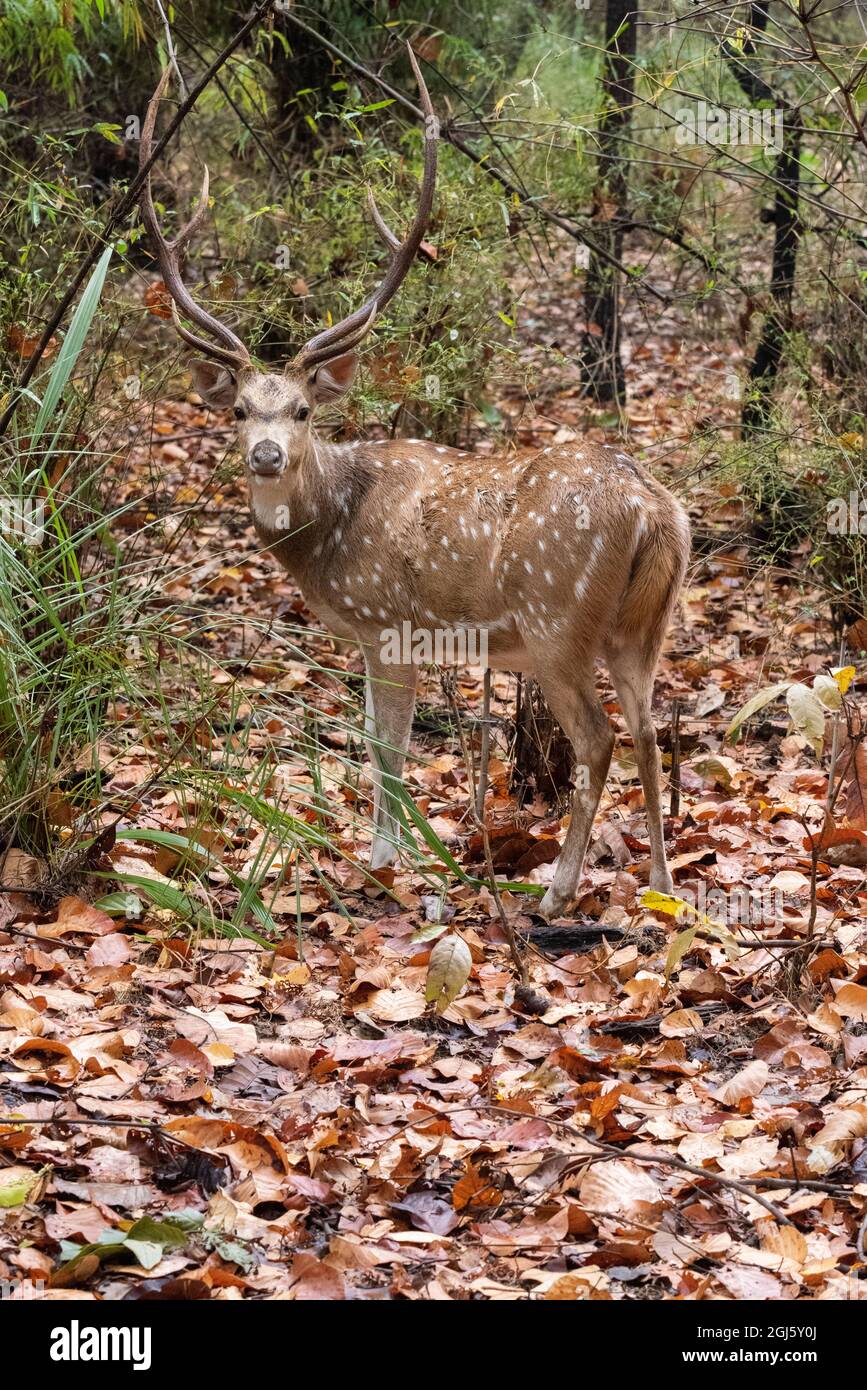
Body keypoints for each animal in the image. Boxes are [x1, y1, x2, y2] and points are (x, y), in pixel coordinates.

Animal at [139, 58, 690, 920]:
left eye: (302, 410)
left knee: (597, 739)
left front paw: (383, 864)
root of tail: (654, 510)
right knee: (650, 731)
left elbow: (386, 751)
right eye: (237, 408)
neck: (330, 532)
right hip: (646, 625)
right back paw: (662, 891)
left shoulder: (387, 624)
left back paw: (555, 892)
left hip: (556, 619)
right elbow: (377, 746)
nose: (265, 453)